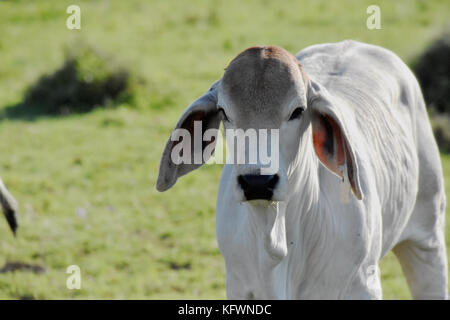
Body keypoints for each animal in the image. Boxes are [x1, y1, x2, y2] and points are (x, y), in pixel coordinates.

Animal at [156, 41, 448, 298]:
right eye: (224, 112)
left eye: (297, 111)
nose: (257, 183)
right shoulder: (239, 285)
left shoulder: (363, 284)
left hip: (427, 239)